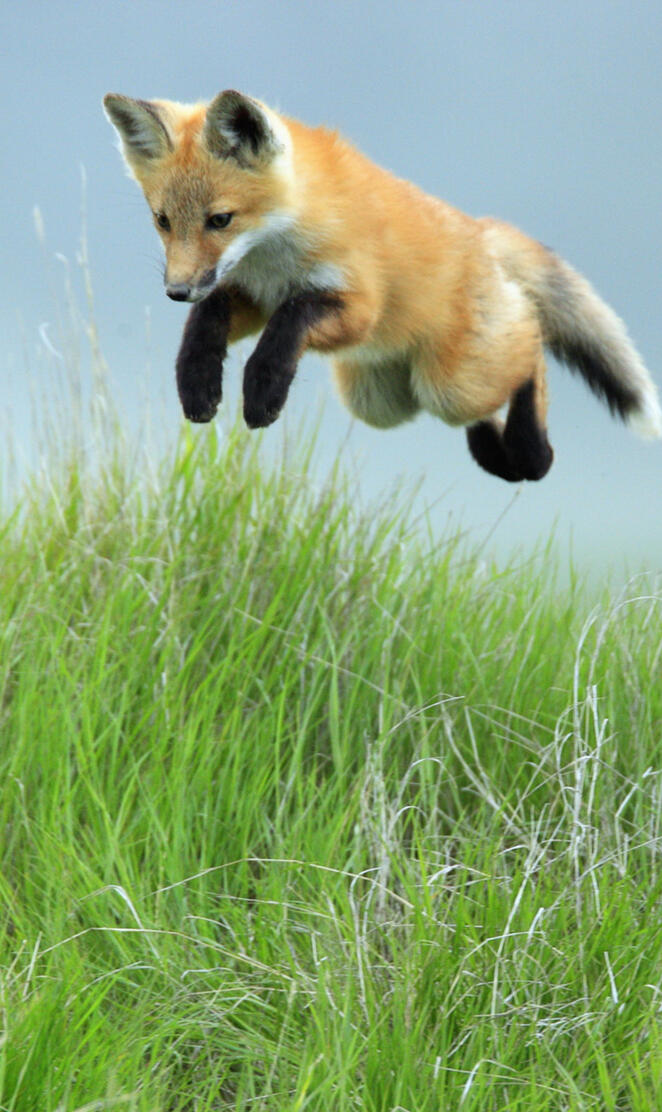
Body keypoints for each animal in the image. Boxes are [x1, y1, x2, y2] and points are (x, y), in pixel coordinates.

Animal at [103, 88, 661, 481]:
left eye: (220, 220)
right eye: (162, 221)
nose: (175, 291)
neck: (275, 256)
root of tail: (481, 231)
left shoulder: (357, 307)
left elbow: (291, 320)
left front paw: (263, 389)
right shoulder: (248, 294)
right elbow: (207, 321)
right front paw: (197, 382)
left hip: (451, 383)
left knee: (531, 349)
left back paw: (533, 451)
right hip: (382, 402)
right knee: (485, 402)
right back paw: (500, 456)